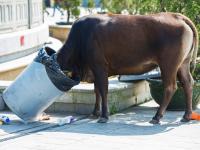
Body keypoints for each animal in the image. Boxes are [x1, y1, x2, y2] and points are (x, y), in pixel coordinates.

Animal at [56, 12, 198, 123]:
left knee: (170, 87)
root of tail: (177, 16)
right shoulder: (94, 69)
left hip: (169, 64)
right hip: (183, 63)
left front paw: (104, 116)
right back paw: (186, 116)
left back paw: (157, 117)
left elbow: (103, 90)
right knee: (187, 83)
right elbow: (96, 91)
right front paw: (95, 112)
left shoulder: (99, 66)